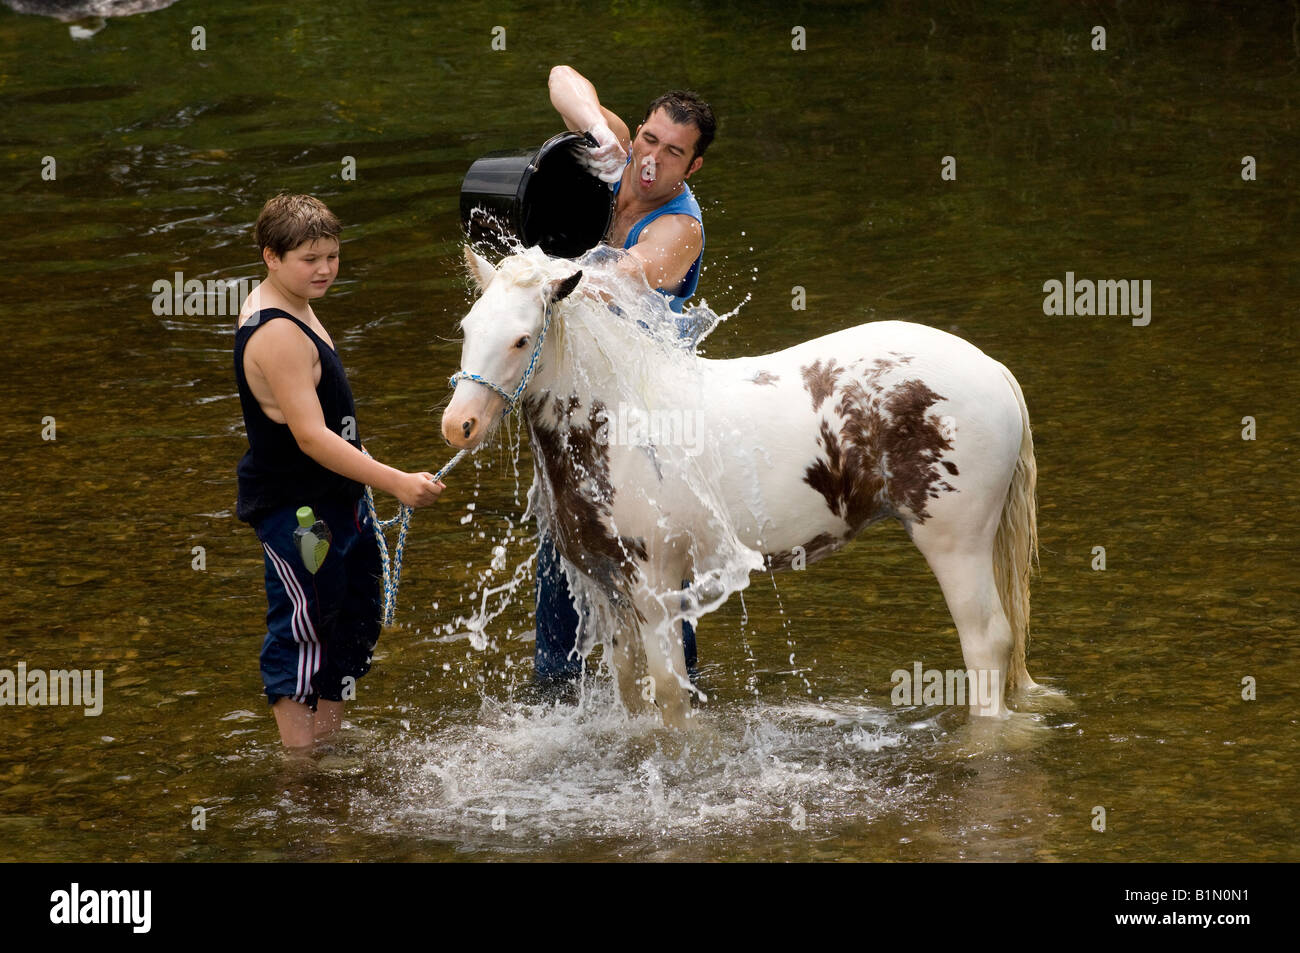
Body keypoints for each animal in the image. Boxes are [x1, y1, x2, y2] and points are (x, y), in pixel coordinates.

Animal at [441, 247, 1040, 728]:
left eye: (522, 339)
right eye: (468, 328)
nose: (458, 426)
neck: (618, 421)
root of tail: (992, 369)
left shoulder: (656, 587)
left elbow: (671, 696)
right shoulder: (612, 589)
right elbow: (632, 689)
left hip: (955, 545)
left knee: (987, 642)